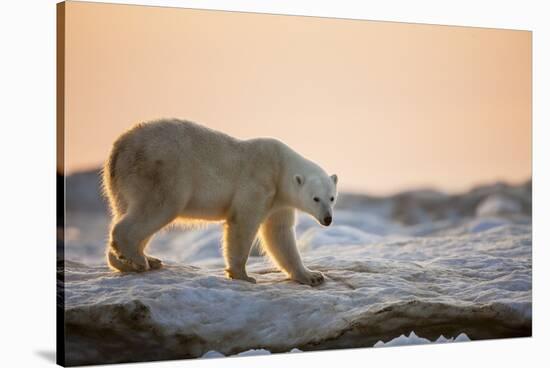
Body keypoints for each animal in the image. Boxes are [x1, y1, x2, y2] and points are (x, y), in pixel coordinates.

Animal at [102, 119, 338, 286]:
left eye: (332, 198)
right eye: (315, 198)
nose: (327, 219)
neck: (281, 166)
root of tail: (119, 147)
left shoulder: (279, 201)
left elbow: (279, 234)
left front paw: (312, 276)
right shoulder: (259, 181)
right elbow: (243, 223)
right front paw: (242, 275)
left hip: (123, 183)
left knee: (126, 210)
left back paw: (134, 261)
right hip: (160, 171)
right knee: (157, 207)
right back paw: (137, 258)